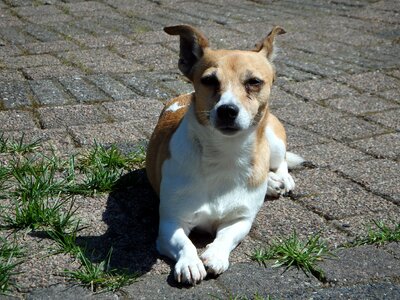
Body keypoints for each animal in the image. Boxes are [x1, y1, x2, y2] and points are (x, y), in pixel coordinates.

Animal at [145, 25, 302, 284]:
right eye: (209, 80)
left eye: (254, 82)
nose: (228, 110)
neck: (224, 153)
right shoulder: (170, 222)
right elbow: (184, 242)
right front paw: (190, 262)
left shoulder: (241, 220)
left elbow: (226, 237)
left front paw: (215, 255)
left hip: (273, 138)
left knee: (279, 162)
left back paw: (281, 179)